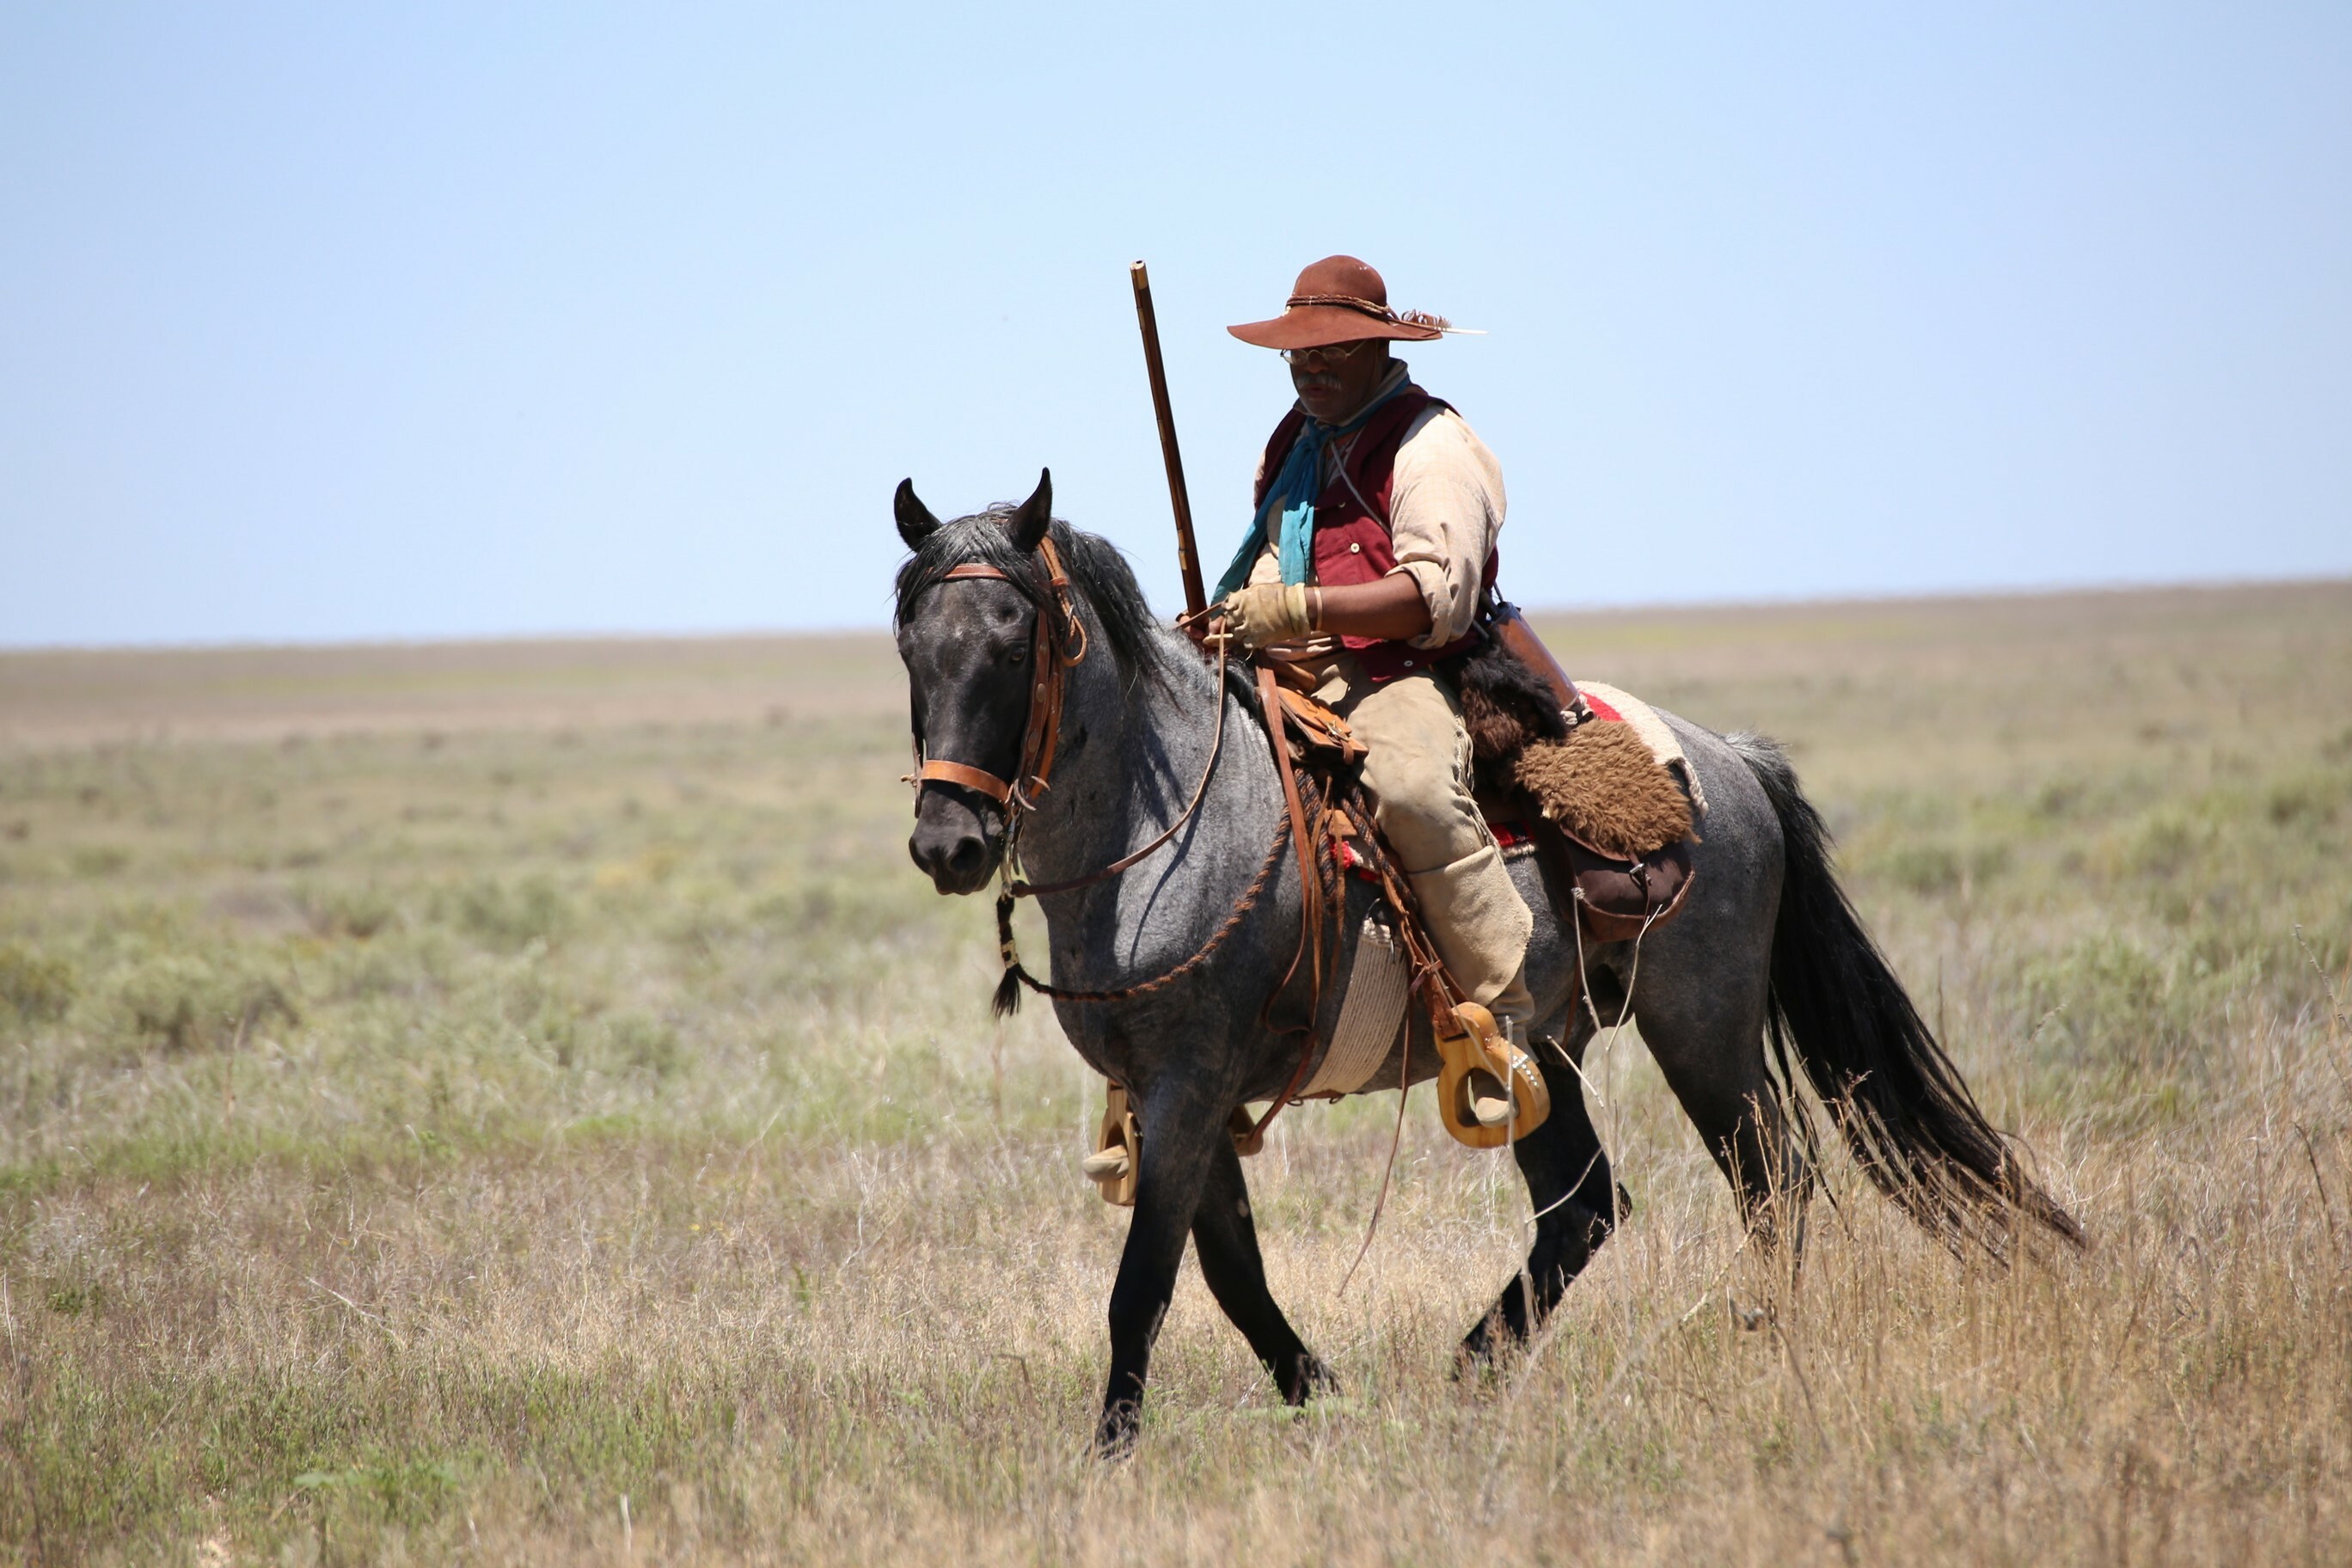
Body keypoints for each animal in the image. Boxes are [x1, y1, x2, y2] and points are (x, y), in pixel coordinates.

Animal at [891, 471, 2081, 1457]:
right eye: (910, 648)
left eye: (1012, 646)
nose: (949, 844)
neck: (1171, 811)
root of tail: (1733, 761)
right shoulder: (1167, 1090)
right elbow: (1230, 1267)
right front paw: (1319, 1396)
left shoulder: (1190, 1082)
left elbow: (1145, 1282)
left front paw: (1111, 1454)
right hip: (1543, 1044)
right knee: (1587, 1205)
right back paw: (1474, 1370)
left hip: (1702, 1026)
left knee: (1769, 1178)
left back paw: (1759, 1339)